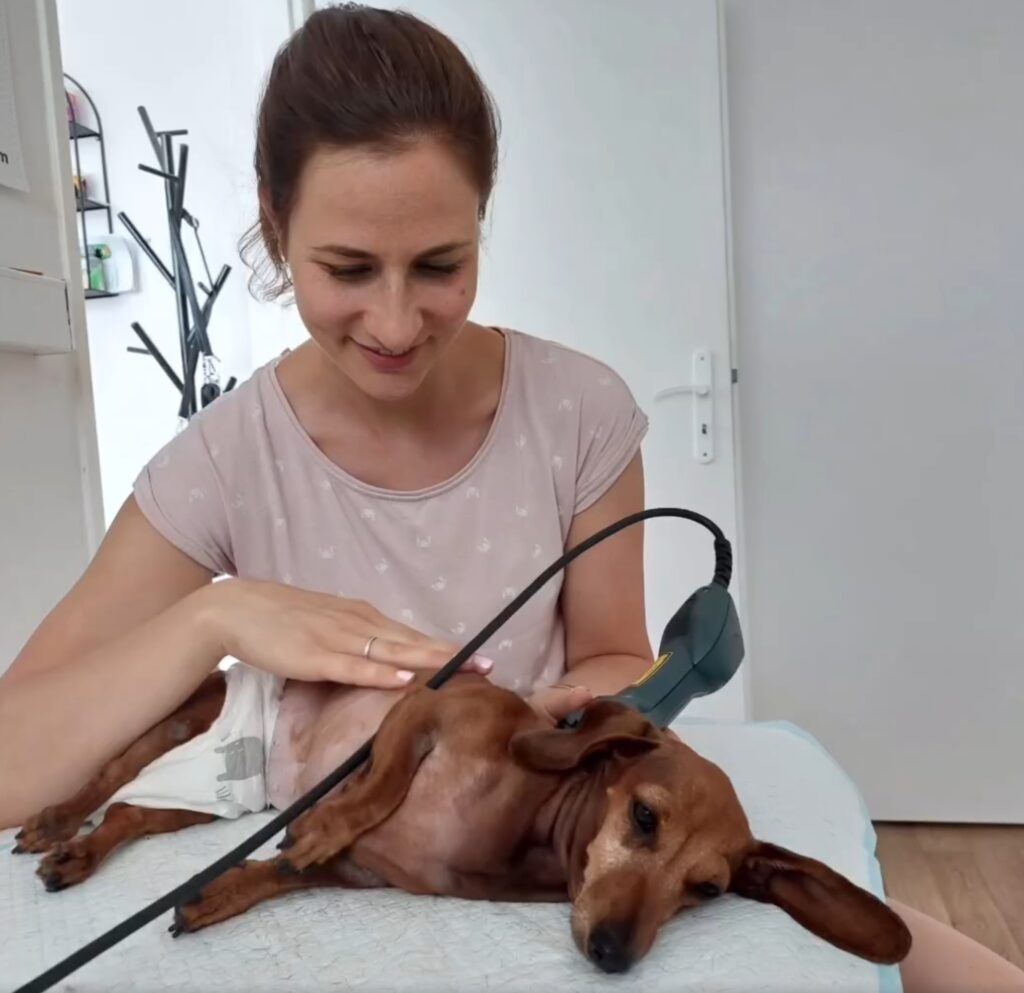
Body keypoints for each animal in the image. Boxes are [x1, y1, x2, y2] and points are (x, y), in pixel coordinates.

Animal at [14, 669, 912, 975]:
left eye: (708, 889)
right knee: (107, 778)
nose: (614, 955)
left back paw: (77, 854)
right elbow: (373, 790)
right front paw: (328, 818)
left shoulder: (354, 873)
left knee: (130, 811)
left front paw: (214, 894)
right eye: (644, 816)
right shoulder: (425, 708)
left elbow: (272, 876)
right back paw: (53, 823)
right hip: (187, 726)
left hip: (215, 796)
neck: (522, 827)